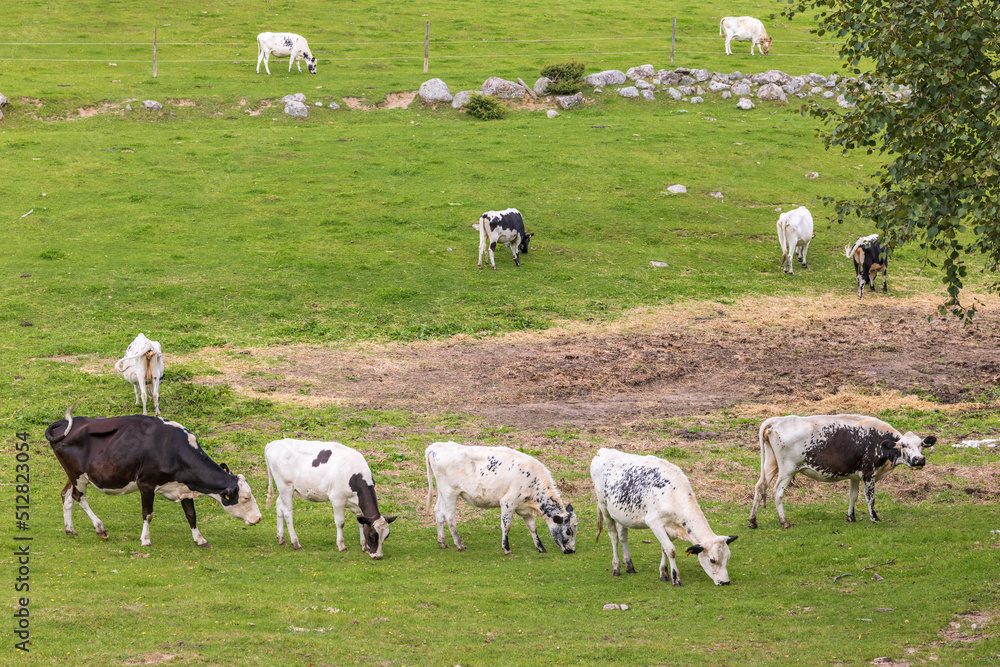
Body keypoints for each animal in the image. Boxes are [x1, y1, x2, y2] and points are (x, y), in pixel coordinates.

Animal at [43, 404, 262, 544]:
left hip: (74, 475)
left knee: (66, 495)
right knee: (79, 497)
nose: (259, 518)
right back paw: (100, 529)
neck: (174, 449)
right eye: (245, 497)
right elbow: (147, 514)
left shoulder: (184, 487)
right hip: (77, 475)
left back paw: (70, 529)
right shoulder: (146, 484)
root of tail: (66, 423)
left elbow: (191, 515)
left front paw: (200, 540)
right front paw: (145, 540)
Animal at [264, 438, 396, 560]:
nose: (378, 556)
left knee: (279, 506)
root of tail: (274, 443)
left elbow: (360, 522)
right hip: (285, 486)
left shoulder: (358, 505)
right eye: (373, 535)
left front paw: (364, 546)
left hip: (284, 489)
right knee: (288, 513)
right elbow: (340, 523)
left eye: (386, 536)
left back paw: (281, 538)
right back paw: (296, 543)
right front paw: (341, 546)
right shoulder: (337, 500)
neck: (355, 475)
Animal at [424, 440, 580, 556]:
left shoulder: (524, 508)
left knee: (438, 511)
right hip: (450, 492)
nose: (572, 550)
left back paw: (442, 542)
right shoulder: (508, 502)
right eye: (568, 531)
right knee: (449, 516)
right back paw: (459, 544)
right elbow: (506, 525)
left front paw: (540, 547)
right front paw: (506, 548)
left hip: (442, 492)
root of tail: (437, 446)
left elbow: (532, 527)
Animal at [588, 448, 740, 584]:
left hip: (622, 514)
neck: (673, 494)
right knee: (613, 536)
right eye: (712, 560)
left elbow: (664, 548)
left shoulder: (669, 527)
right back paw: (616, 567)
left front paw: (664, 573)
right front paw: (675, 578)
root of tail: (603, 451)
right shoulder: (655, 523)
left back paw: (629, 565)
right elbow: (671, 550)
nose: (725, 582)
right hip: (604, 507)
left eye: (728, 558)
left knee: (622, 535)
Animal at [752, 414, 936, 528]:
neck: (880, 441)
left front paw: (850, 516)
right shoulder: (868, 473)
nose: (919, 459)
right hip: (787, 470)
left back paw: (753, 521)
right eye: (904, 445)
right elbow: (870, 498)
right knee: (777, 493)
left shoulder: (855, 475)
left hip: (771, 464)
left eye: (921, 445)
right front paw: (874, 518)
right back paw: (784, 522)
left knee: (760, 487)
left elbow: (853, 496)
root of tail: (777, 420)